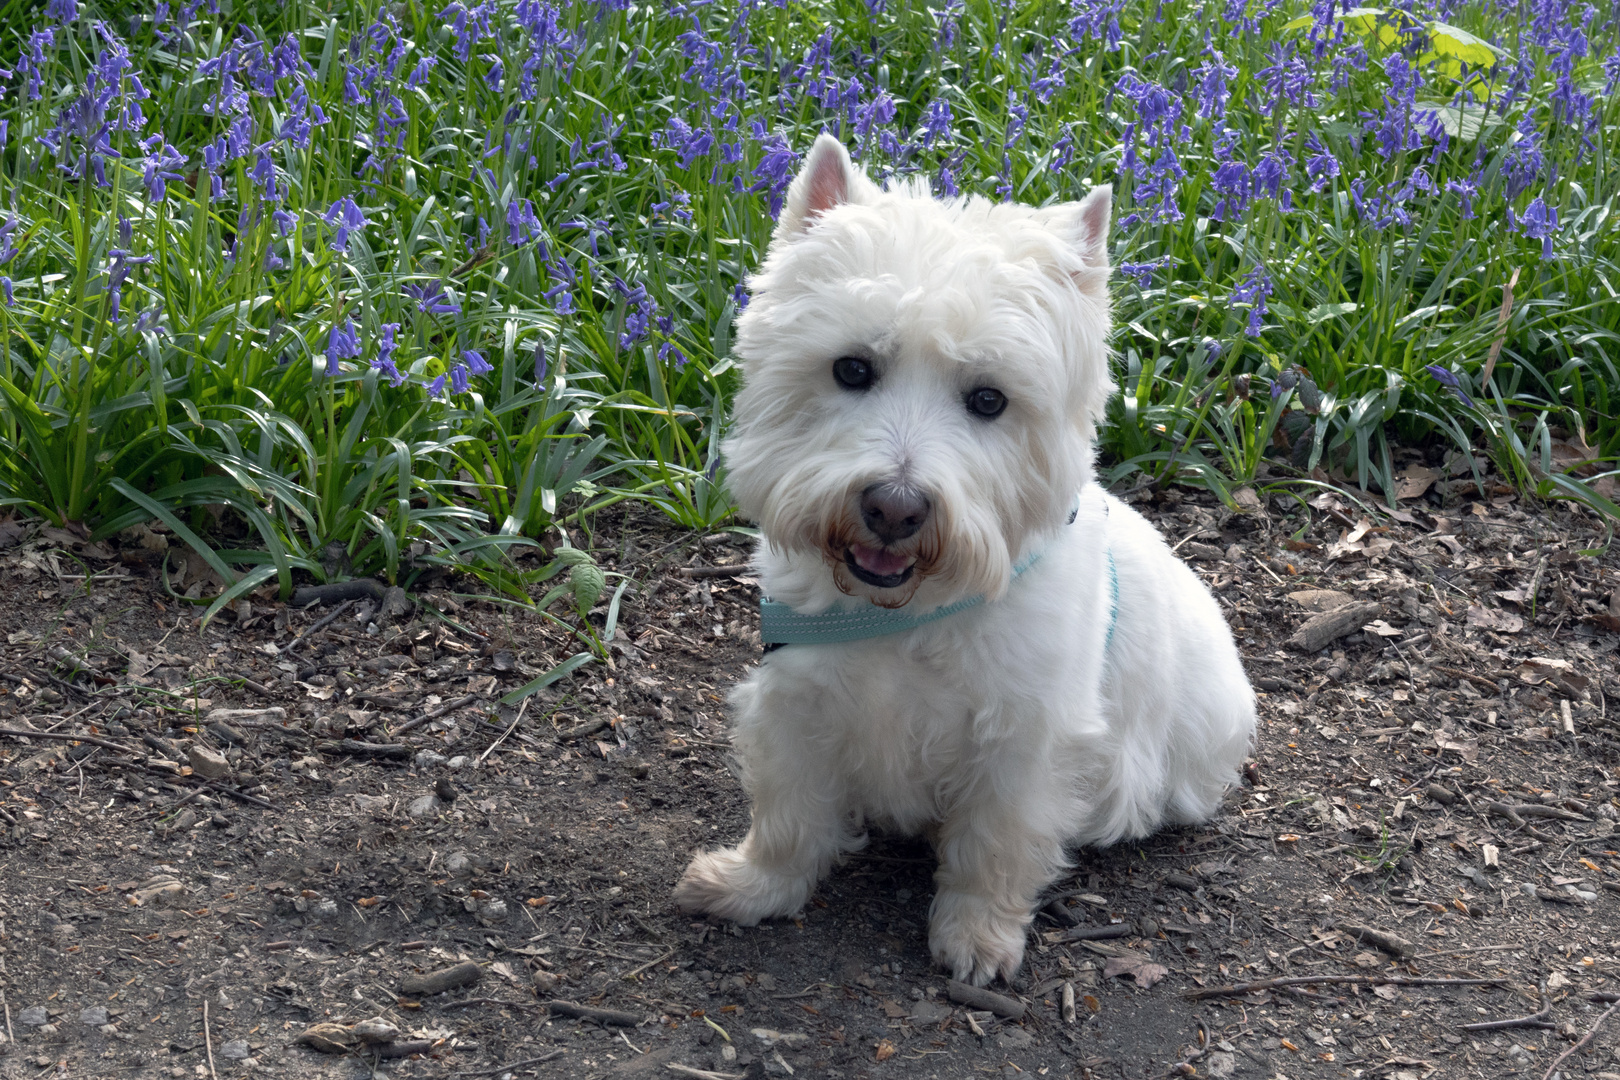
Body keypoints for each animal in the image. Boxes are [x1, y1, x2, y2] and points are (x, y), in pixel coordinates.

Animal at [670, 132, 1250, 990]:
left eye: (988, 400)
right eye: (851, 368)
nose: (894, 507)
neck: (904, 613)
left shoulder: (1024, 739)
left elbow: (995, 847)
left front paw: (977, 939)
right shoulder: (800, 697)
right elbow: (788, 813)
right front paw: (750, 887)